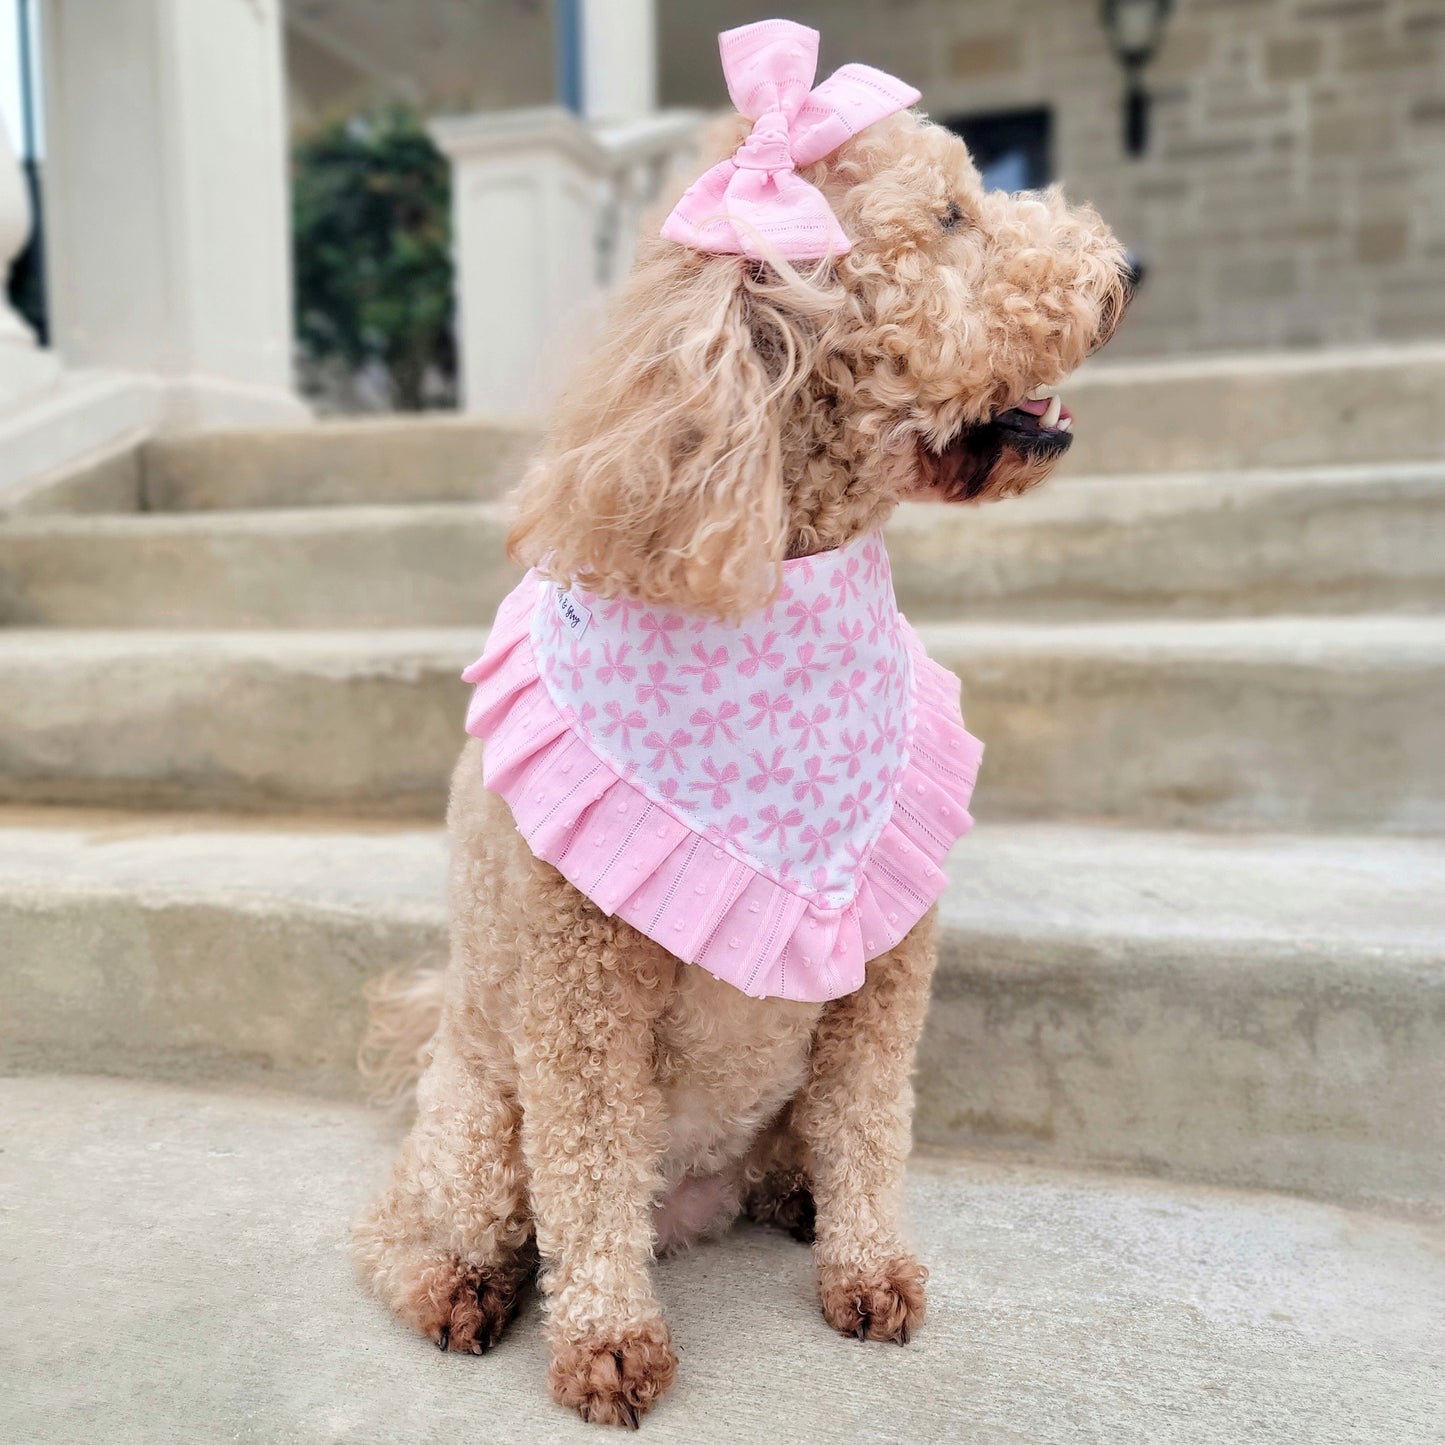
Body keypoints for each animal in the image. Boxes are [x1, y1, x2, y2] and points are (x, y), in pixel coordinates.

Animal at [355, 16, 1132, 1427]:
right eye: (950, 214)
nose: (1123, 270)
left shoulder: (885, 967)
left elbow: (872, 1125)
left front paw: (867, 1266)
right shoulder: (579, 993)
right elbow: (589, 1169)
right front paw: (607, 1344)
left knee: (796, 1147)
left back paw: (790, 1199)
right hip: (482, 1123)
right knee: (414, 1222)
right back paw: (463, 1287)